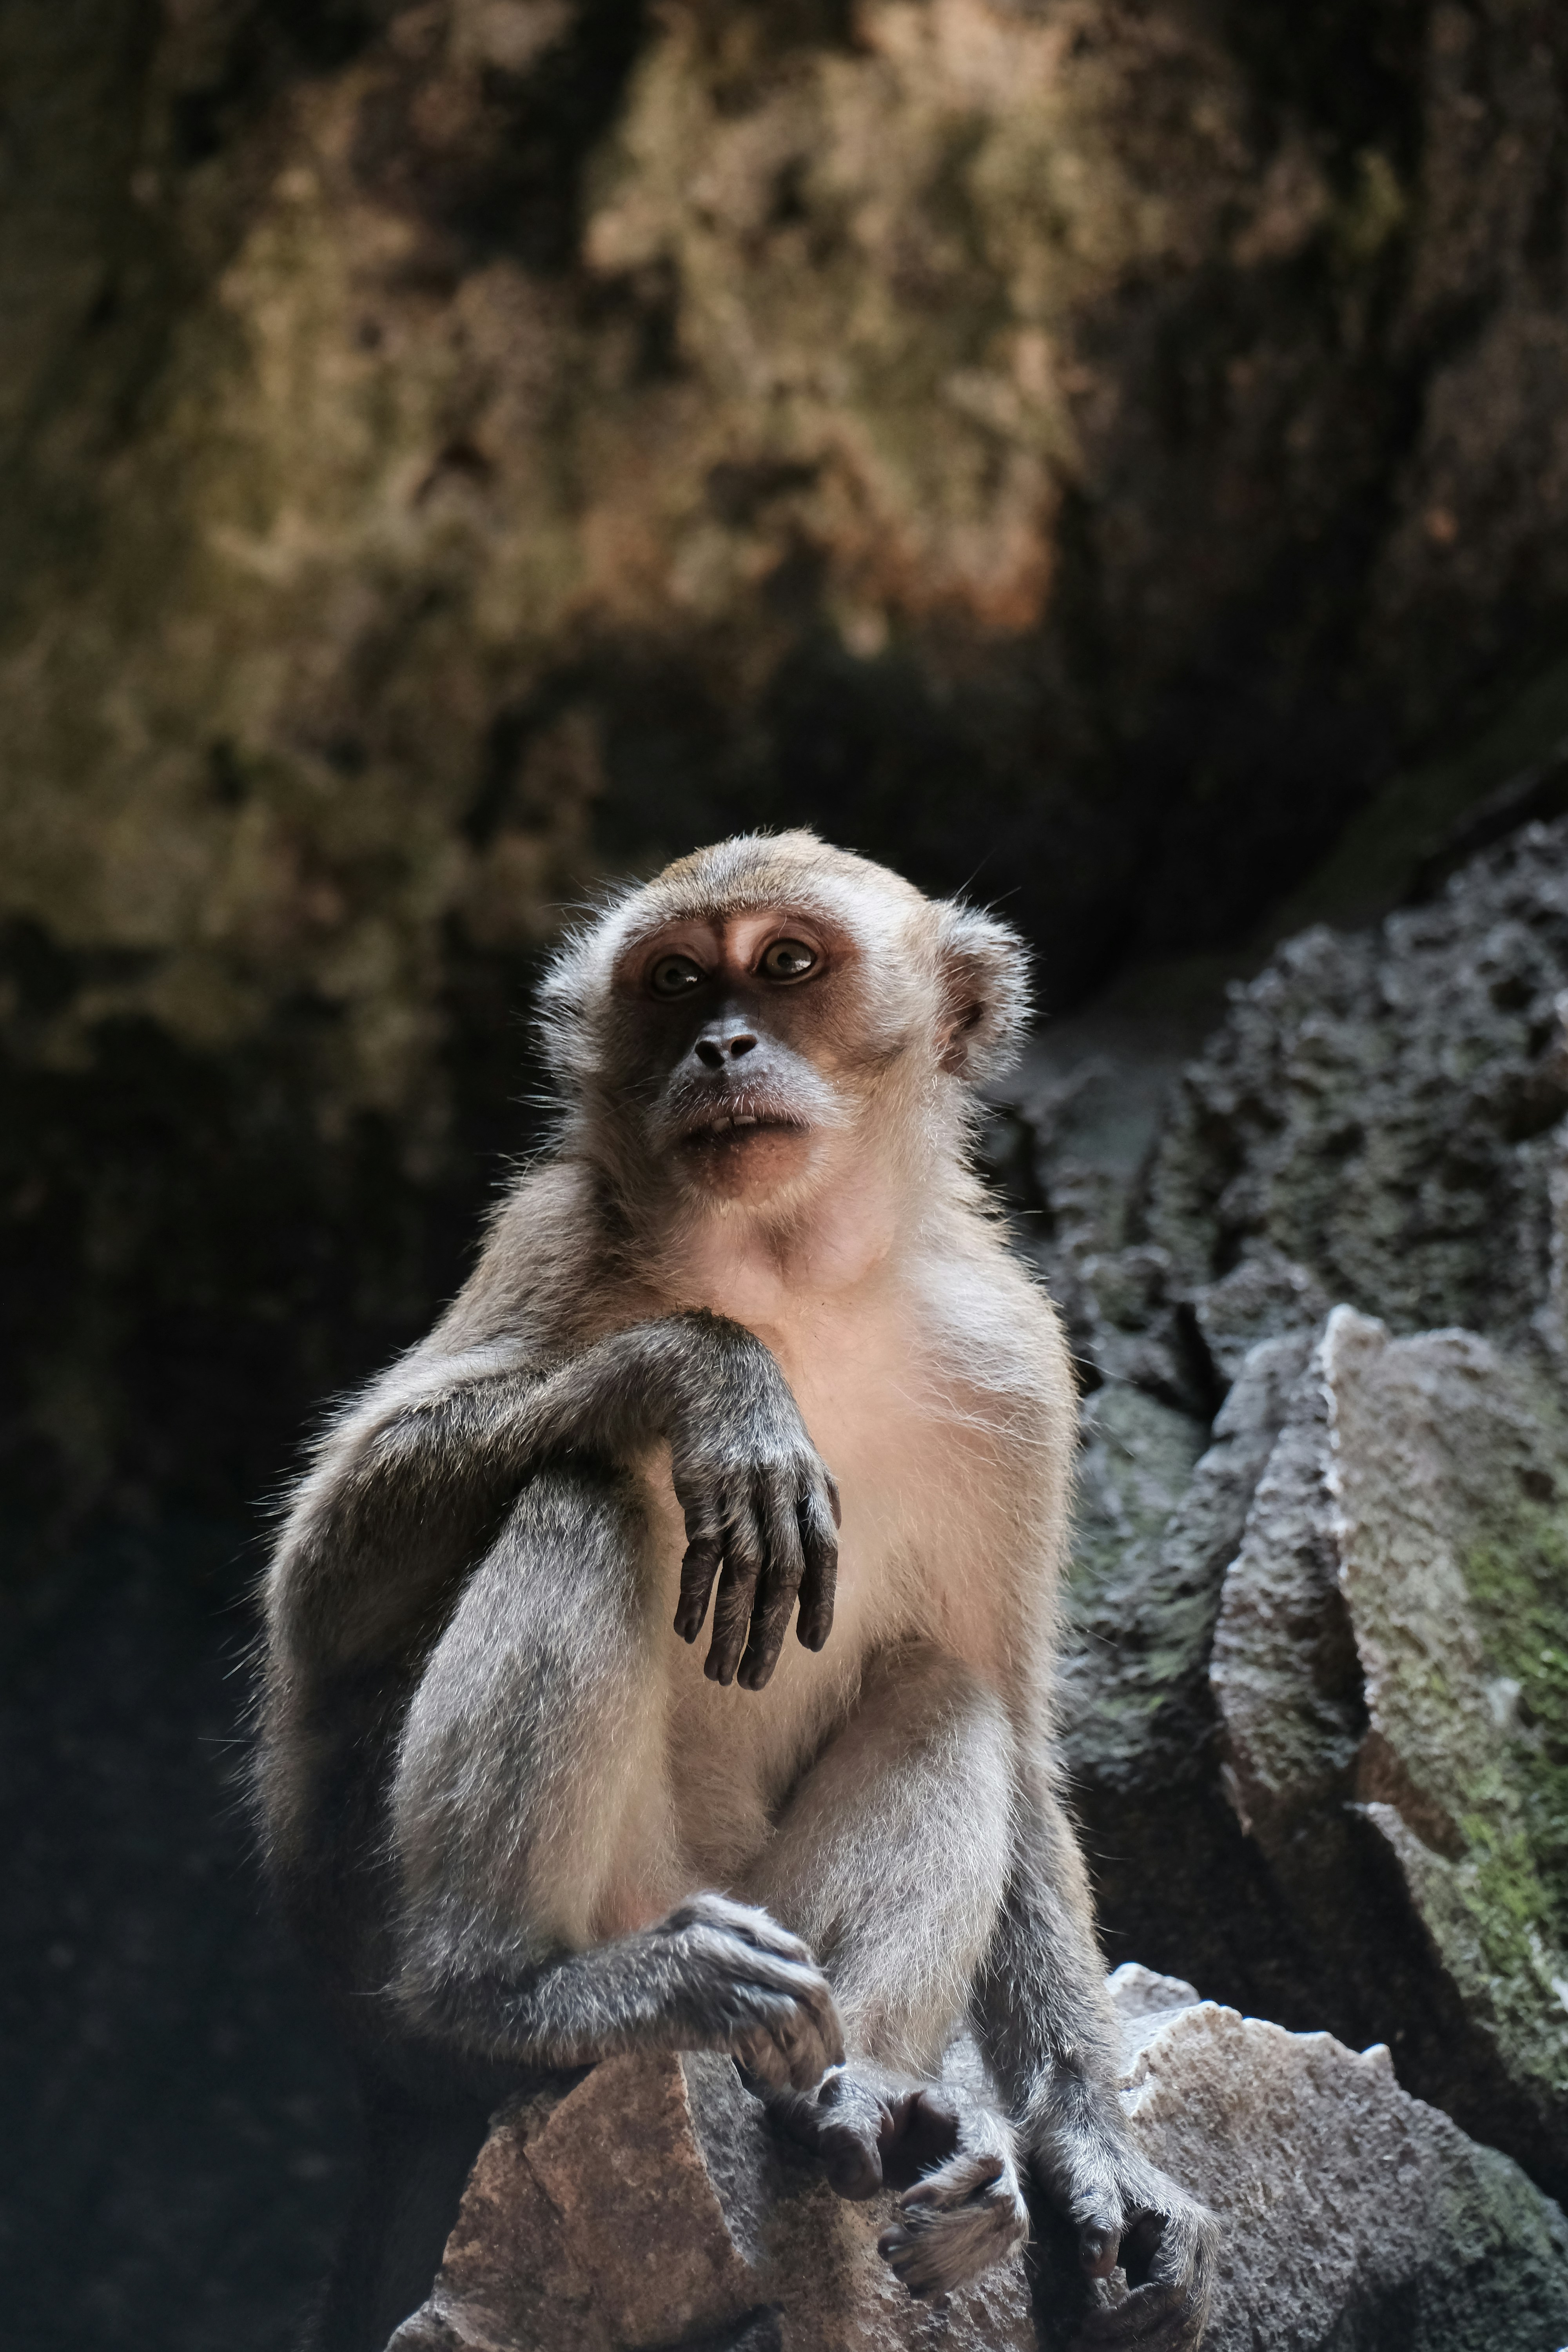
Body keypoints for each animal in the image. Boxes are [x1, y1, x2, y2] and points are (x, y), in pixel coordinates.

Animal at [257, 830, 1216, 2352]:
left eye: (786, 964)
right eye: (673, 979)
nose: (719, 1042)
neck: (786, 1273)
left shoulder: (1014, 1365)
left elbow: (1010, 1715)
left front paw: (1096, 2152)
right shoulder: (554, 1235)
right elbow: (318, 1597)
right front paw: (708, 1378)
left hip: (773, 1928)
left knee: (945, 1690)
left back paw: (869, 2110)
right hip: (516, 1906)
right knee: (579, 1497)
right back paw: (510, 1991)